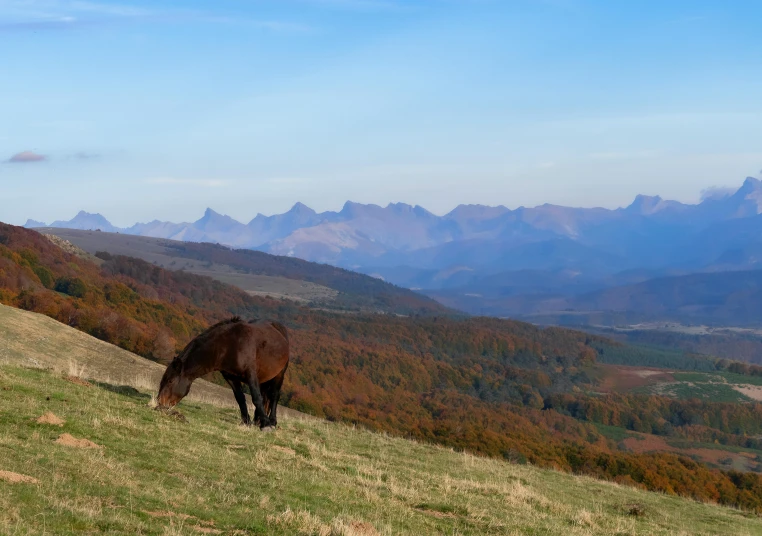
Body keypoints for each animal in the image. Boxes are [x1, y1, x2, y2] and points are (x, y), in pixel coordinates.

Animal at [157, 316, 288, 430]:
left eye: (170, 381)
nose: (160, 403)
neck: (230, 345)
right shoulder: (230, 377)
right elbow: (240, 398)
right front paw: (246, 422)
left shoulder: (250, 374)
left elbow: (256, 398)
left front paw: (266, 425)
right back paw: (258, 421)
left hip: (279, 374)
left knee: (274, 396)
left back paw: (272, 421)